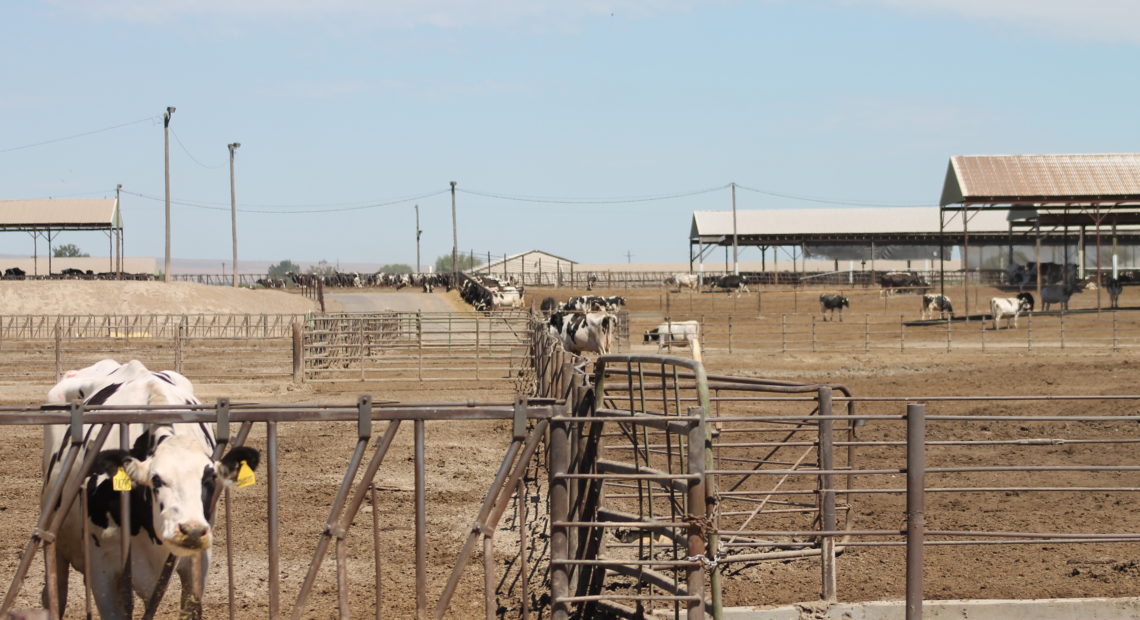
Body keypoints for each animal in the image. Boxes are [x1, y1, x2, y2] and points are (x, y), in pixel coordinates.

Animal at [42, 360, 261, 615]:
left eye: (209, 479)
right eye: (156, 480)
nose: (192, 530)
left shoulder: (198, 559)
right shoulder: (102, 567)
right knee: (55, 593)